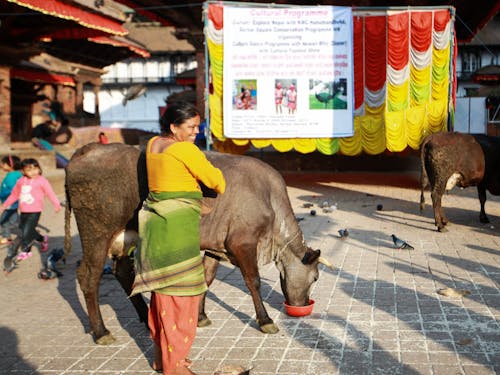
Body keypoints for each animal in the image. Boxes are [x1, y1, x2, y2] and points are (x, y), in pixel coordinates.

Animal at [65, 144, 332, 346]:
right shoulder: (242, 242)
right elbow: (253, 281)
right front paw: (265, 320)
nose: (303, 305)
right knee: (88, 275)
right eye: (316, 277)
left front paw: (201, 316)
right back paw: (101, 331)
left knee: (121, 272)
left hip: (125, 236)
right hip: (97, 232)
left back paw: (143, 317)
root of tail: (87, 150)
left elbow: (207, 278)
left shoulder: (217, 245)